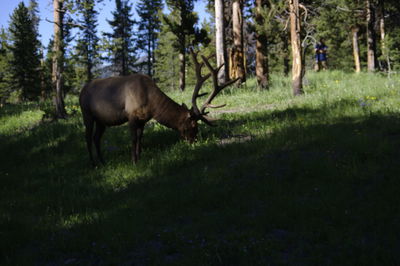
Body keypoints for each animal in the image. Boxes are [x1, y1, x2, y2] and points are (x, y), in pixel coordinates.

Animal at [79, 49, 239, 166]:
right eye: (194, 126)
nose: (194, 142)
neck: (151, 104)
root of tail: (81, 91)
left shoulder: (142, 120)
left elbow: (140, 138)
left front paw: (139, 158)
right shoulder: (131, 116)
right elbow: (133, 139)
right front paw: (133, 161)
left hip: (101, 121)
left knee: (96, 138)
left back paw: (102, 161)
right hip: (86, 114)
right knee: (87, 137)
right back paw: (93, 163)